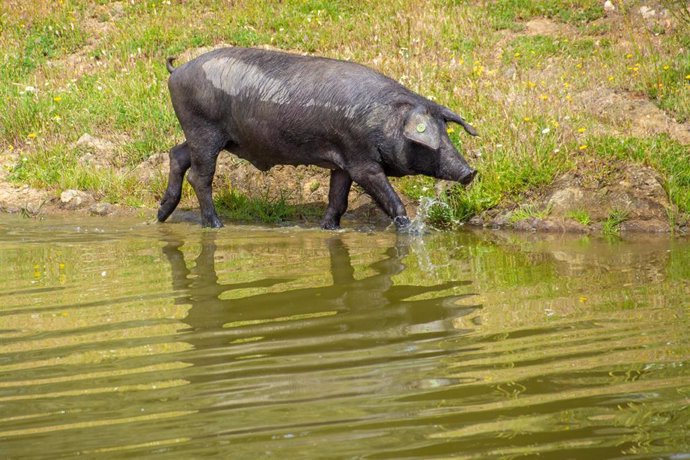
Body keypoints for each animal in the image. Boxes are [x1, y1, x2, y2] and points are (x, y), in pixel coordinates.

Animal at [158, 46, 476, 230]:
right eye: (426, 141)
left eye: (446, 133)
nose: (470, 172)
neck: (384, 121)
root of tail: (177, 70)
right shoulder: (361, 162)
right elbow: (391, 201)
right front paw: (410, 232)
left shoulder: (343, 163)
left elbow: (338, 201)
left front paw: (329, 229)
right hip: (203, 130)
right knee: (199, 177)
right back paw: (215, 226)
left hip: (208, 136)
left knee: (177, 155)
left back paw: (161, 215)